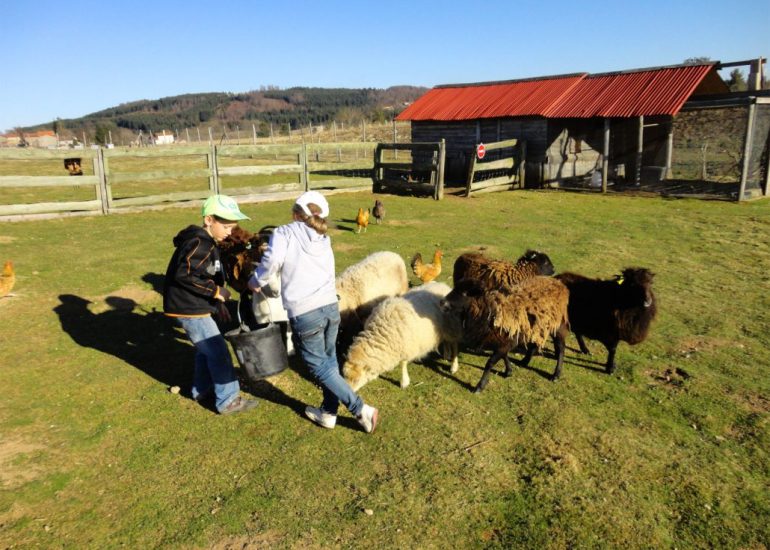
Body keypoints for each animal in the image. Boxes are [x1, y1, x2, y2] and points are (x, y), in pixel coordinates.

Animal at [438, 276, 568, 392]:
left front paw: (480, 386)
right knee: (533, 344)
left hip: (558, 326)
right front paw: (509, 371)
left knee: (560, 348)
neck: (491, 312)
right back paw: (524, 362)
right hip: (536, 327)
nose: (442, 302)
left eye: (465, 293)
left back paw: (556, 374)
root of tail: (559, 283)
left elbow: (490, 363)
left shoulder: (505, 341)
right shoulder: (502, 340)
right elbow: (504, 355)